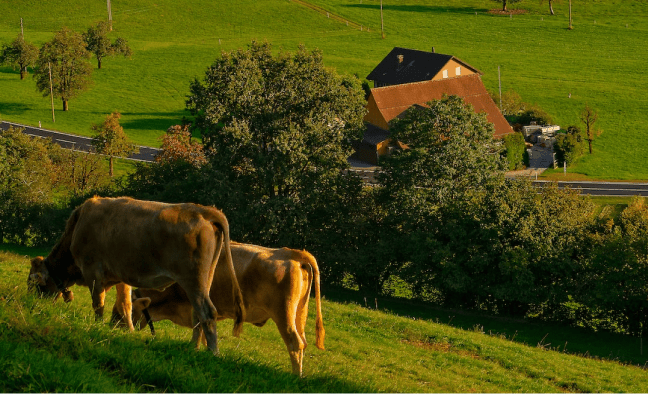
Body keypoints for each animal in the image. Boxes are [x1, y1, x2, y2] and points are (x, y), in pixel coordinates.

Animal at [27, 197, 246, 354]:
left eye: (34, 283)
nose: (33, 306)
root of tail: (202, 210)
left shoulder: (93, 271)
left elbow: (98, 304)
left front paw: (95, 326)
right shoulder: (120, 277)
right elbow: (125, 304)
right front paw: (128, 331)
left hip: (193, 280)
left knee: (207, 312)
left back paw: (212, 352)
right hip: (204, 279)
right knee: (198, 315)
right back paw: (193, 347)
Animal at [112, 243, 324, 376]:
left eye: (122, 311)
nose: (111, 327)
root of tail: (291, 253)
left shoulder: (195, 303)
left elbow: (198, 327)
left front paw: (193, 348)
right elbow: (206, 330)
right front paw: (207, 352)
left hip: (283, 313)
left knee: (295, 343)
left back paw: (295, 376)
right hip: (299, 314)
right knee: (303, 343)